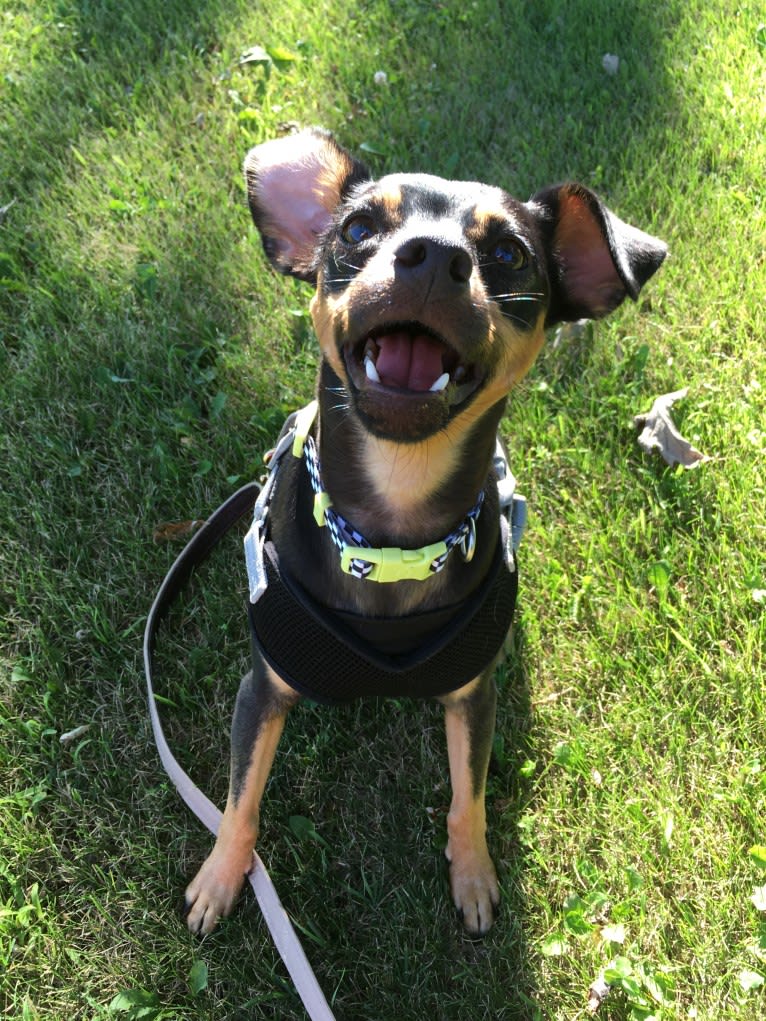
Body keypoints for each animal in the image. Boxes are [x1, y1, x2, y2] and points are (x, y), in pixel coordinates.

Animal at [184, 125, 665, 935]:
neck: (390, 542)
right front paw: (221, 876)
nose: (436, 256)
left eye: (508, 253)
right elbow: (240, 797)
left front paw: (472, 873)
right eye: (356, 230)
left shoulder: (474, 696)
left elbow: (468, 796)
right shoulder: (262, 691)